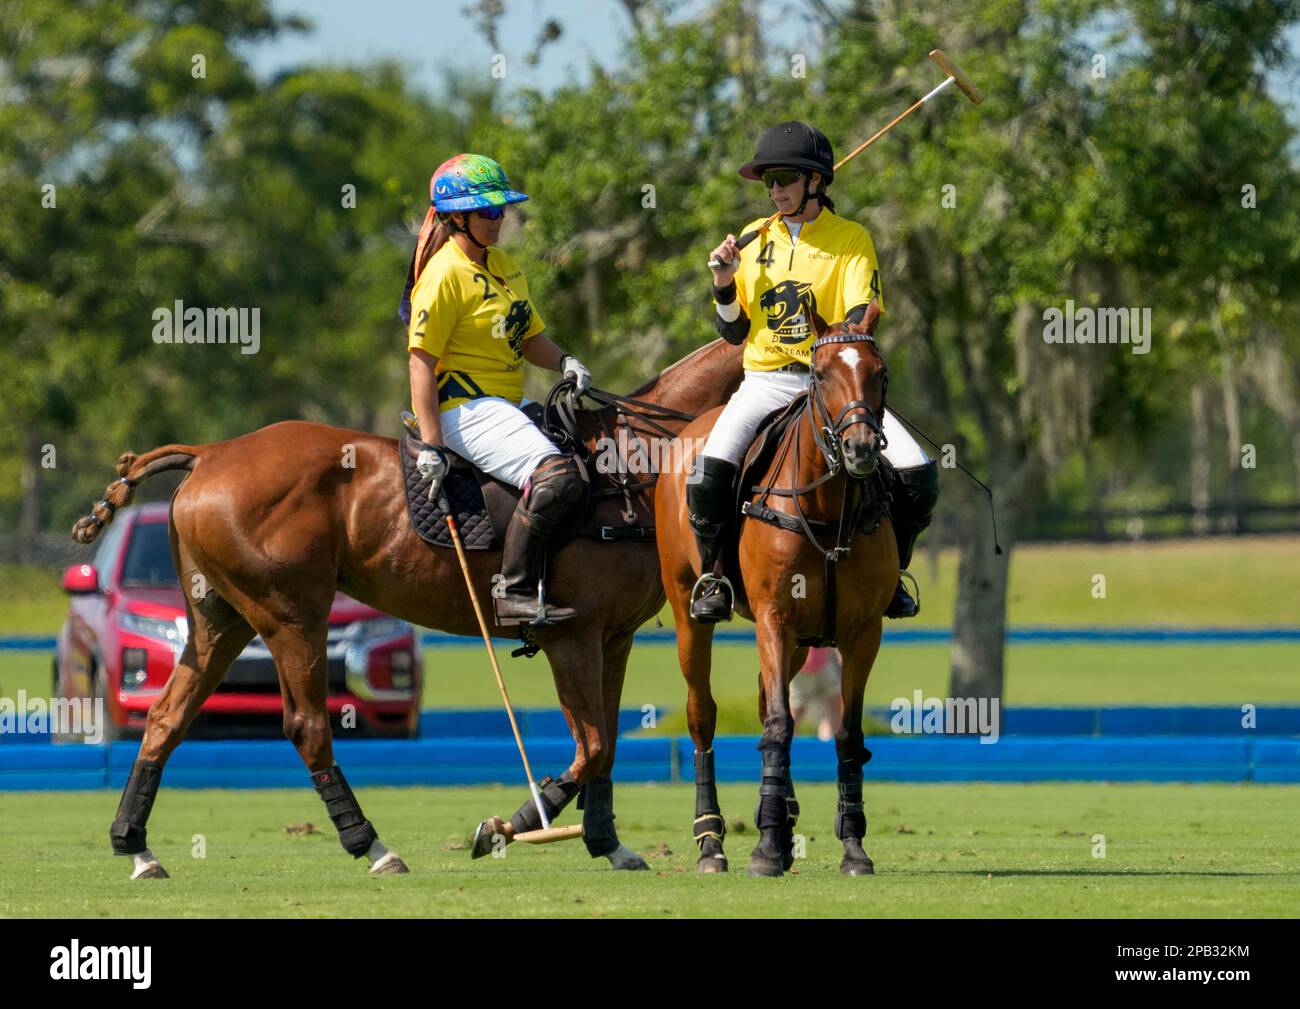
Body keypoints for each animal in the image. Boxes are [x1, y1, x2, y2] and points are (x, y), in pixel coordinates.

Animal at [73, 338, 743, 873]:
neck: (630, 468)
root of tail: (209, 453)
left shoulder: (614, 636)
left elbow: (605, 748)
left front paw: (608, 844)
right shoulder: (570, 636)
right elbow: (595, 746)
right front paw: (506, 827)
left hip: (220, 619)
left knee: (167, 717)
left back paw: (136, 847)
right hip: (291, 615)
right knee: (306, 726)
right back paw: (373, 847)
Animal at [655, 306, 899, 873]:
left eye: (879, 373)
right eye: (821, 373)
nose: (858, 448)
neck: (828, 510)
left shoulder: (863, 632)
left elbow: (847, 733)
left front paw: (853, 846)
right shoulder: (773, 617)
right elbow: (779, 726)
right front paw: (764, 849)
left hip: (800, 642)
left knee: (770, 694)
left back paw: (782, 818)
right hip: (686, 609)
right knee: (703, 714)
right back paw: (712, 841)